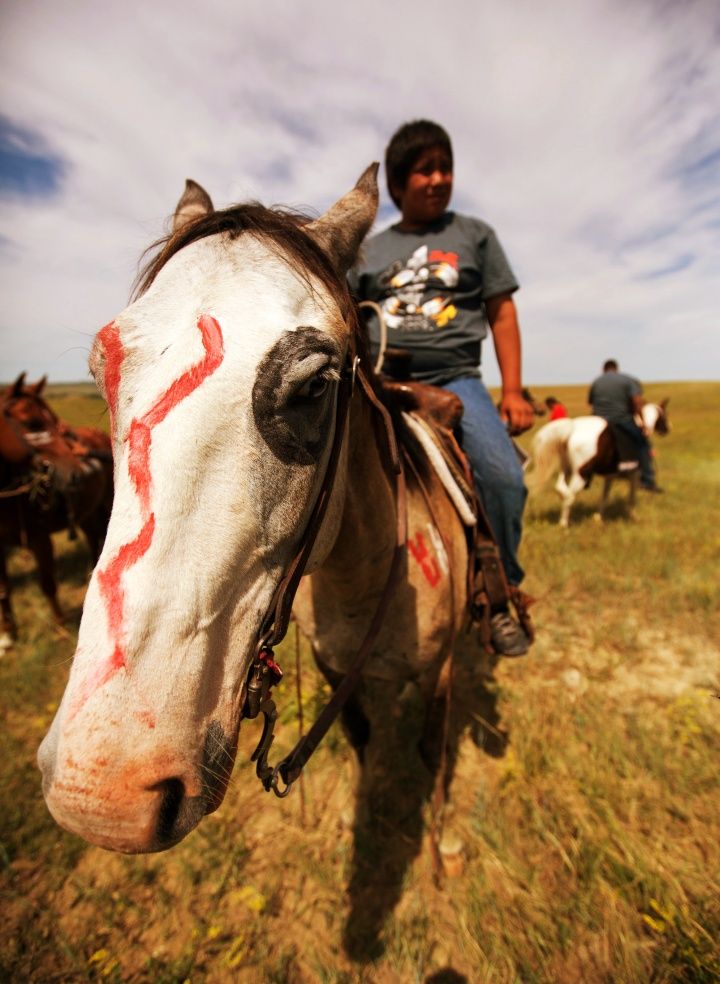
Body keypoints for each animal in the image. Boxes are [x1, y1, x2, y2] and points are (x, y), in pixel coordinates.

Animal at [0, 370, 113, 644]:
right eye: (32, 423)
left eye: (52, 419)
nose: (76, 472)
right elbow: (4, 589)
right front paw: (7, 634)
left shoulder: (40, 538)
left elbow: (48, 583)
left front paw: (61, 626)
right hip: (87, 513)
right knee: (93, 539)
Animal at [36, 167, 476, 852]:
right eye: (100, 367)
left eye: (316, 385)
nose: (104, 794)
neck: (369, 577)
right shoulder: (335, 673)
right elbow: (364, 742)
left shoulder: (442, 673)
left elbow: (432, 753)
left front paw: (437, 842)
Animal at [524, 400, 668, 528]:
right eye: (662, 414)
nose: (667, 429)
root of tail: (572, 428)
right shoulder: (634, 475)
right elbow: (631, 498)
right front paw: (634, 517)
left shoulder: (610, 476)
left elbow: (604, 497)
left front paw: (598, 518)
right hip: (580, 475)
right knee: (569, 495)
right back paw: (564, 523)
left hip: (567, 469)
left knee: (560, 487)